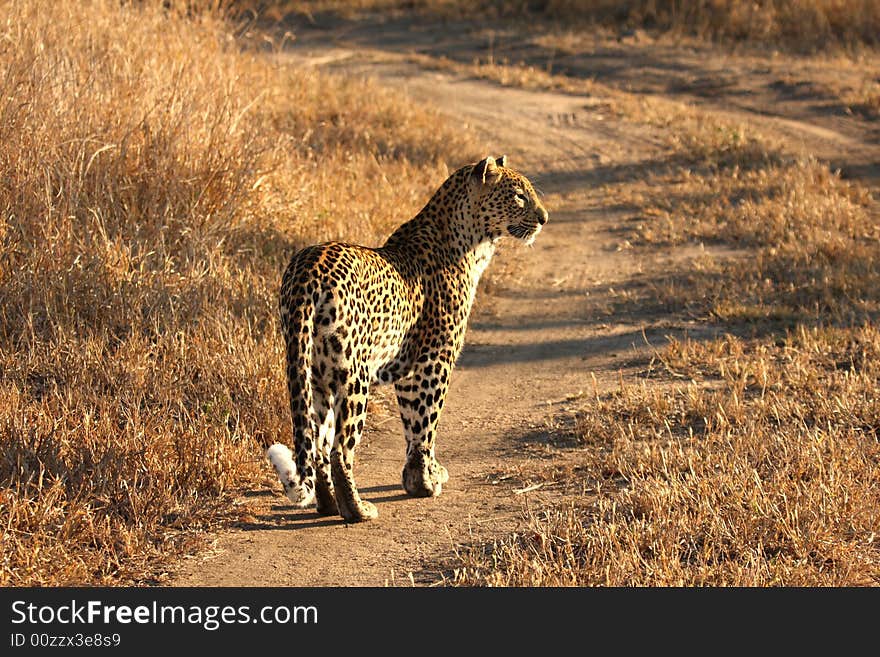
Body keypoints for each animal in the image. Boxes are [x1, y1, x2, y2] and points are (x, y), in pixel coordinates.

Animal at [264, 155, 548, 524]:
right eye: (518, 196)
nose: (544, 218)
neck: (473, 243)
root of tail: (307, 269)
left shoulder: (409, 367)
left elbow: (414, 423)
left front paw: (423, 475)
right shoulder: (433, 359)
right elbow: (425, 422)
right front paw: (424, 482)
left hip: (312, 374)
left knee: (319, 445)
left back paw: (328, 505)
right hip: (354, 374)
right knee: (340, 449)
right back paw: (358, 510)